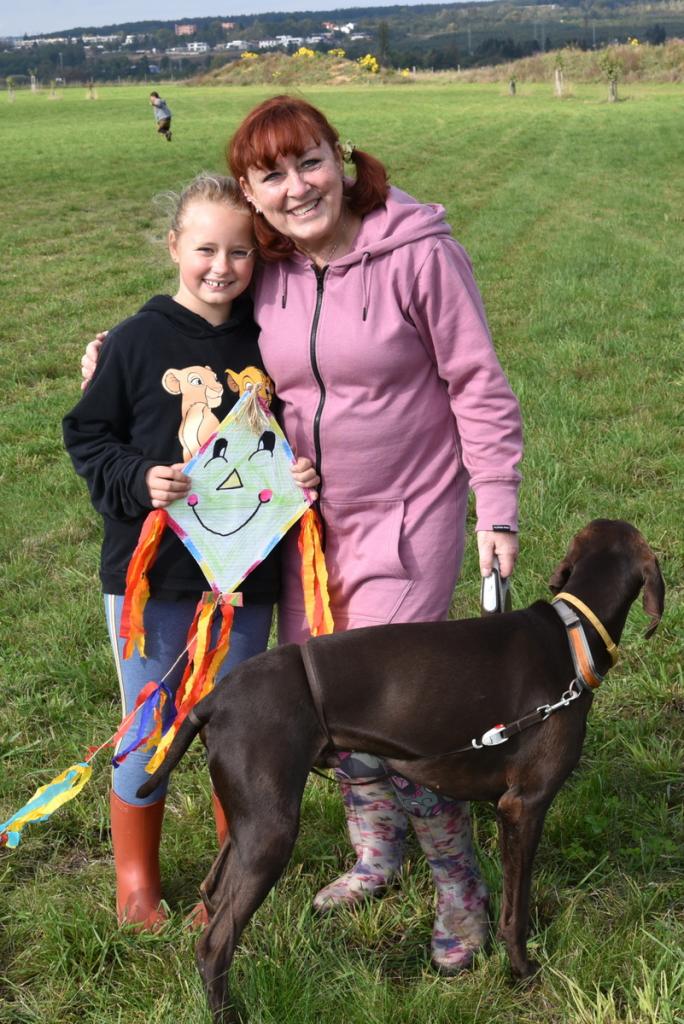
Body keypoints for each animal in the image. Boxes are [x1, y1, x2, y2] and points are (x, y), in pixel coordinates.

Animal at [138, 519, 664, 1022]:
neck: (571, 632)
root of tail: (213, 700)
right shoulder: (524, 806)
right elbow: (517, 912)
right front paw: (522, 972)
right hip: (271, 831)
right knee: (214, 944)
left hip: (250, 819)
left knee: (212, 894)